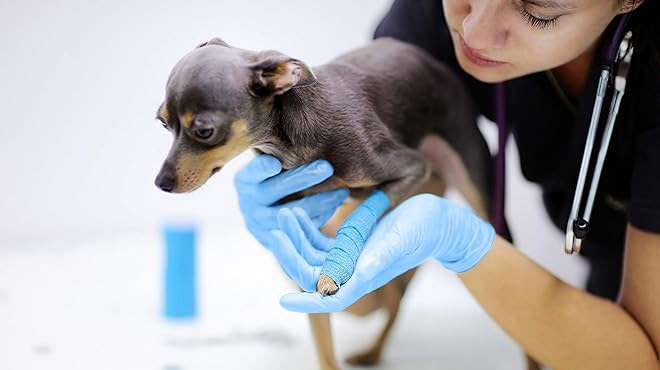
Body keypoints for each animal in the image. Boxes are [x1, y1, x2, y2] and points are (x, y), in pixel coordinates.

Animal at [155, 36, 492, 370]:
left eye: (204, 131)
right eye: (163, 123)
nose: (160, 183)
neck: (289, 144)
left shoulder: (412, 168)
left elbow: (366, 209)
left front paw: (332, 274)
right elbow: (323, 345)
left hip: (469, 178)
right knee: (395, 301)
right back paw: (372, 352)